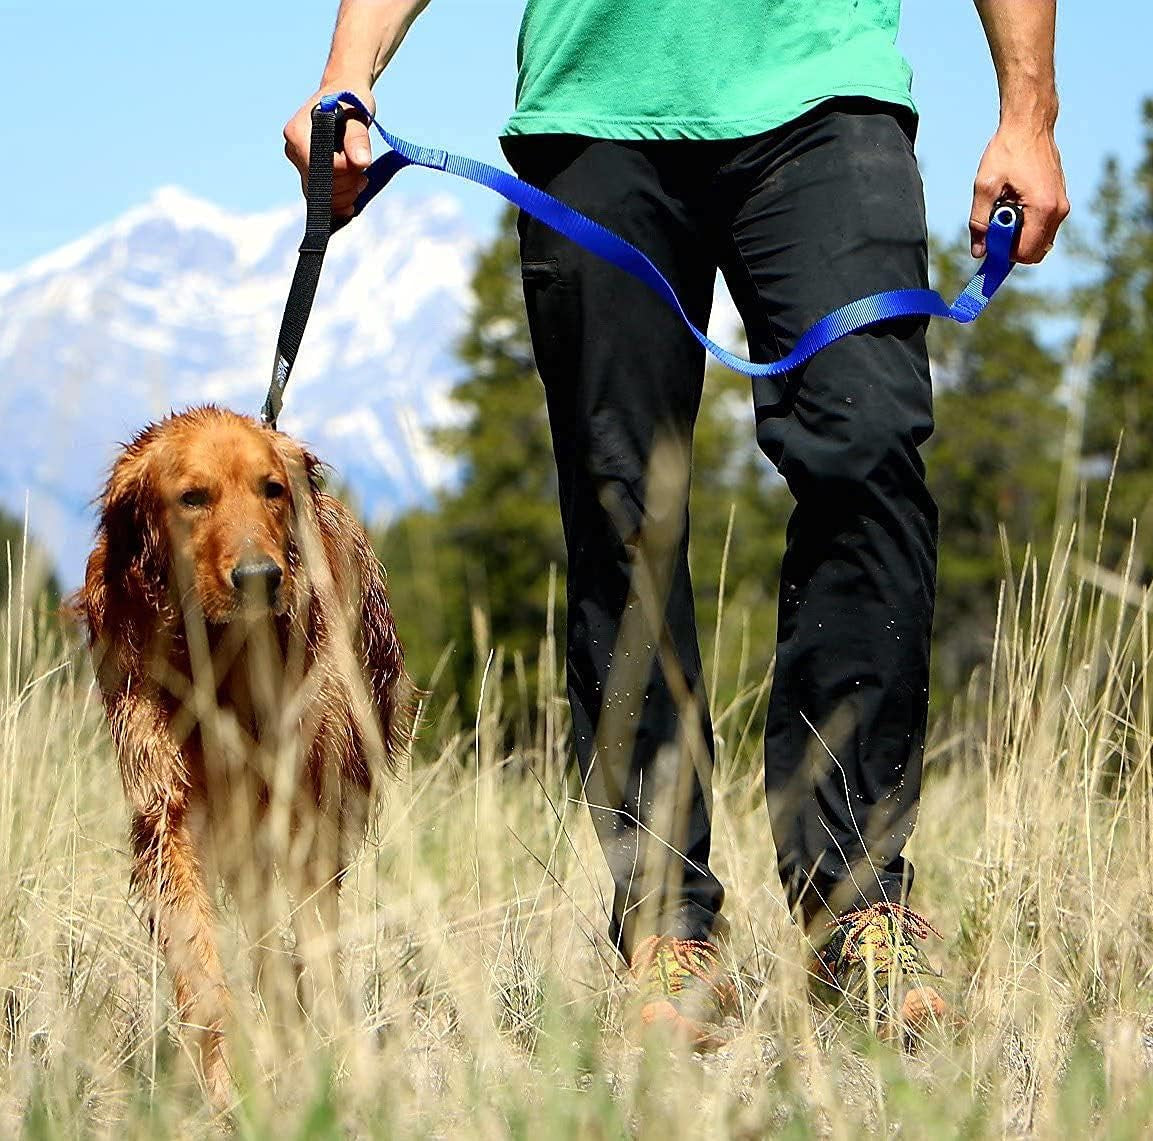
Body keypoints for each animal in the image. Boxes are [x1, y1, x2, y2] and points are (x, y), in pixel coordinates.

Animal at [69, 405, 408, 1111]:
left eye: (271, 489)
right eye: (193, 497)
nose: (258, 578)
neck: (217, 653)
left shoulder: (308, 809)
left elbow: (314, 944)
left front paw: (328, 1064)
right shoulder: (166, 810)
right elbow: (200, 963)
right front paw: (228, 1088)